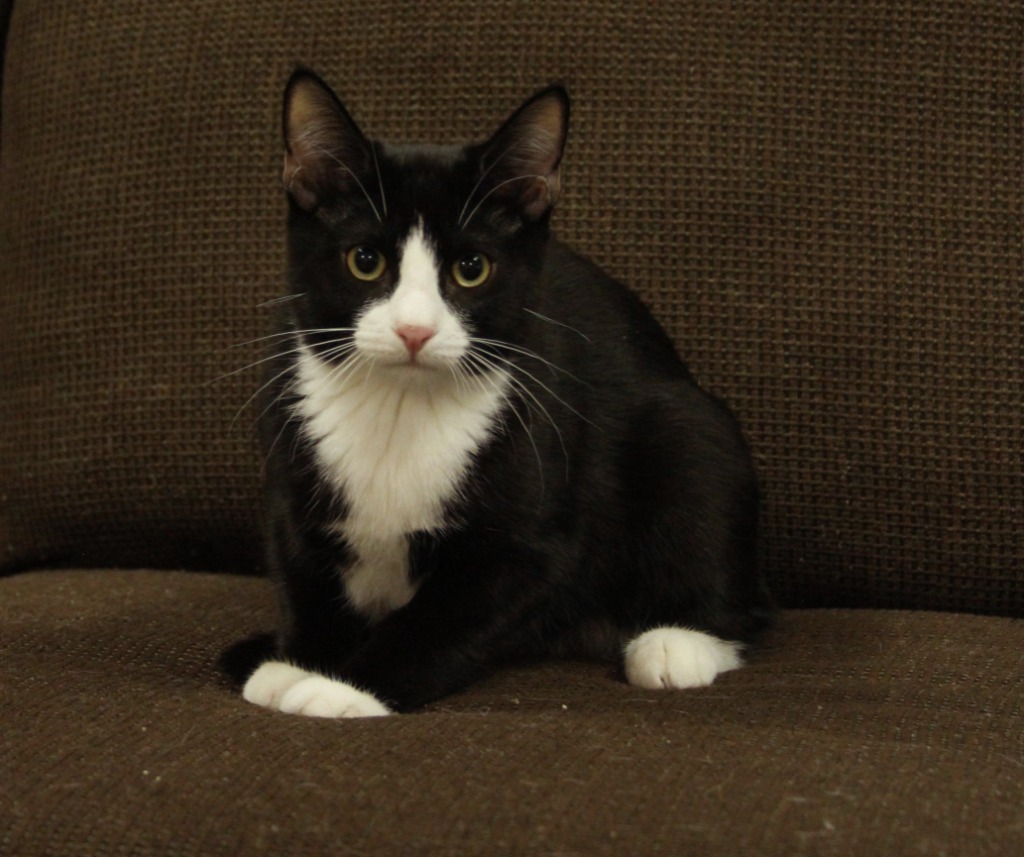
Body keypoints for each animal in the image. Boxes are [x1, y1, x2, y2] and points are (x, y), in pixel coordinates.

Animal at [237, 70, 770, 720]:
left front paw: (341, 687)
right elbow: (305, 576)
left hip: (687, 431)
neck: (400, 406)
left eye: (471, 268)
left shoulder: (533, 538)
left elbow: (438, 619)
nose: (414, 330)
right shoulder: (289, 479)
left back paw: (677, 643)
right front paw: (297, 662)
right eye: (365, 260)